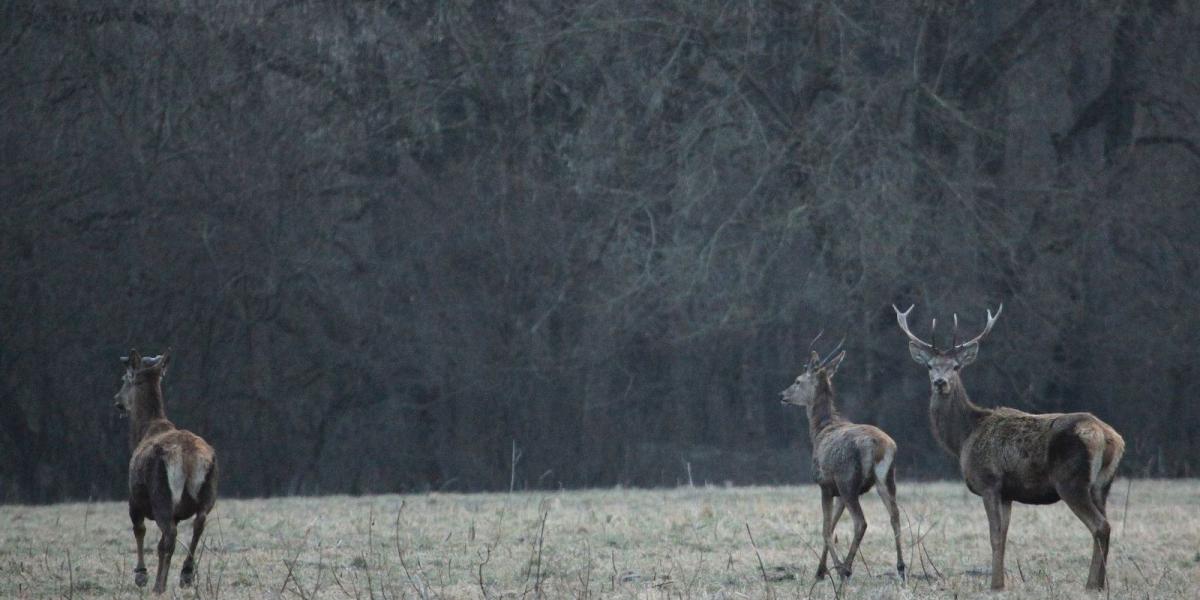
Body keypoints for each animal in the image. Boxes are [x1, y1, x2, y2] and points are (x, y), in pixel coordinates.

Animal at [112, 350, 218, 592]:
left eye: (125, 379)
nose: (117, 400)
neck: (144, 431)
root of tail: (188, 457)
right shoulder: (177, 512)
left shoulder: (133, 498)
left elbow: (139, 529)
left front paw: (141, 575)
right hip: (209, 489)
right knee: (198, 523)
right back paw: (185, 574)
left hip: (160, 491)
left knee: (169, 534)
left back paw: (159, 586)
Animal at [782, 340, 902, 583]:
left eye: (797, 380)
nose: (782, 395)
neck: (820, 430)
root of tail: (878, 445)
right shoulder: (837, 491)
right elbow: (833, 526)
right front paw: (820, 570)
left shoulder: (825, 484)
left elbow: (826, 529)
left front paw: (829, 570)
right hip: (886, 479)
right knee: (895, 516)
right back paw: (901, 568)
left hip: (848, 480)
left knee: (861, 522)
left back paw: (846, 568)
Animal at [892, 304, 1123, 590]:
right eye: (930, 366)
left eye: (956, 367)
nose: (940, 382)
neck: (964, 437)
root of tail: (1108, 437)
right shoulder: (1008, 493)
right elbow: (1004, 535)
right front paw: (1000, 582)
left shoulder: (989, 482)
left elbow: (994, 536)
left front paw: (995, 585)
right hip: (1102, 485)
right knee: (1107, 525)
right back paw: (1102, 584)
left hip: (1072, 481)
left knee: (1100, 526)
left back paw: (1091, 584)